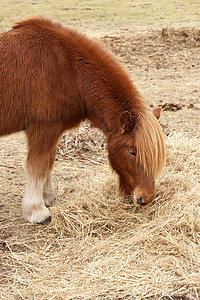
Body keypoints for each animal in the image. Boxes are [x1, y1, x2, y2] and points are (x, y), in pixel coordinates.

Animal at [0, 16, 166, 223]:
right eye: (132, 152)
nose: (146, 198)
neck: (67, 68)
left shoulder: (52, 132)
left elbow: (49, 162)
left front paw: (47, 198)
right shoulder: (43, 129)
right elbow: (37, 167)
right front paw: (37, 212)